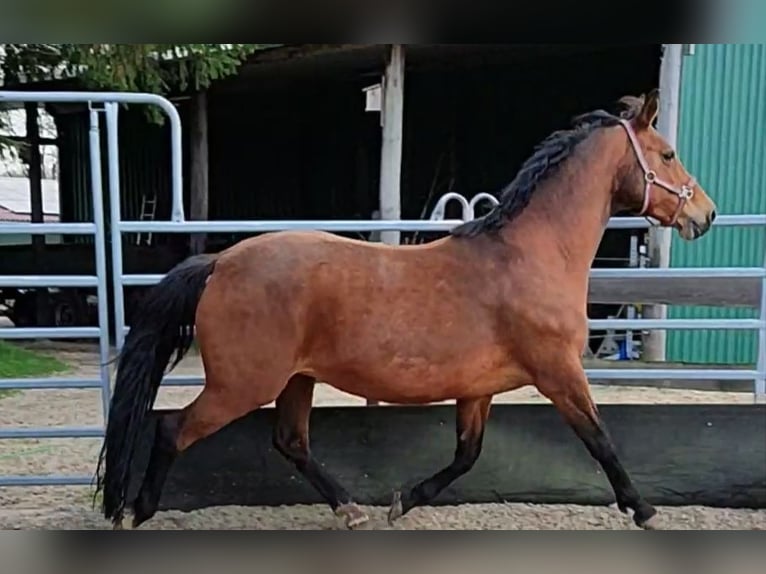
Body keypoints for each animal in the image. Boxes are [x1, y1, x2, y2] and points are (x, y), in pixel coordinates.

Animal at [96, 88, 720, 532]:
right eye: (668, 154)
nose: (707, 214)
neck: (530, 254)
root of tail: (221, 263)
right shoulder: (559, 372)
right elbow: (600, 440)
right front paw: (644, 510)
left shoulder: (478, 390)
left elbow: (467, 456)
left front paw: (404, 502)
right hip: (242, 385)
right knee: (172, 429)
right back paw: (139, 512)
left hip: (295, 380)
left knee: (291, 442)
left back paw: (352, 510)